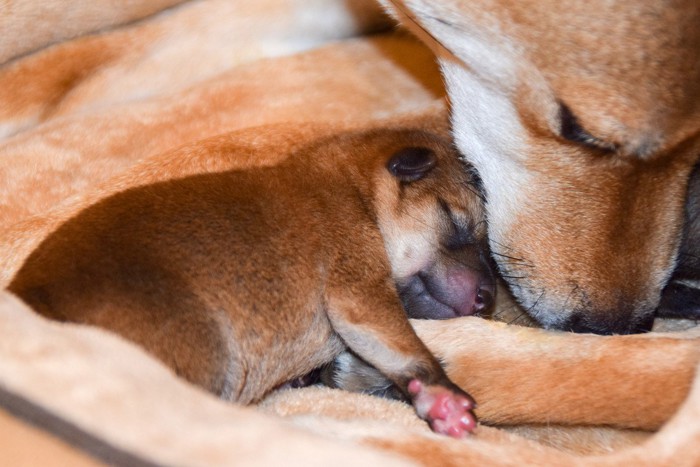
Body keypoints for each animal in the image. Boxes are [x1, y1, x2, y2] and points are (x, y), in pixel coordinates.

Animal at [8, 128, 494, 438]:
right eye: (458, 223)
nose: (487, 297)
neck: (354, 188)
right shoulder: (358, 287)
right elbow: (403, 343)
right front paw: (443, 396)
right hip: (196, 342)